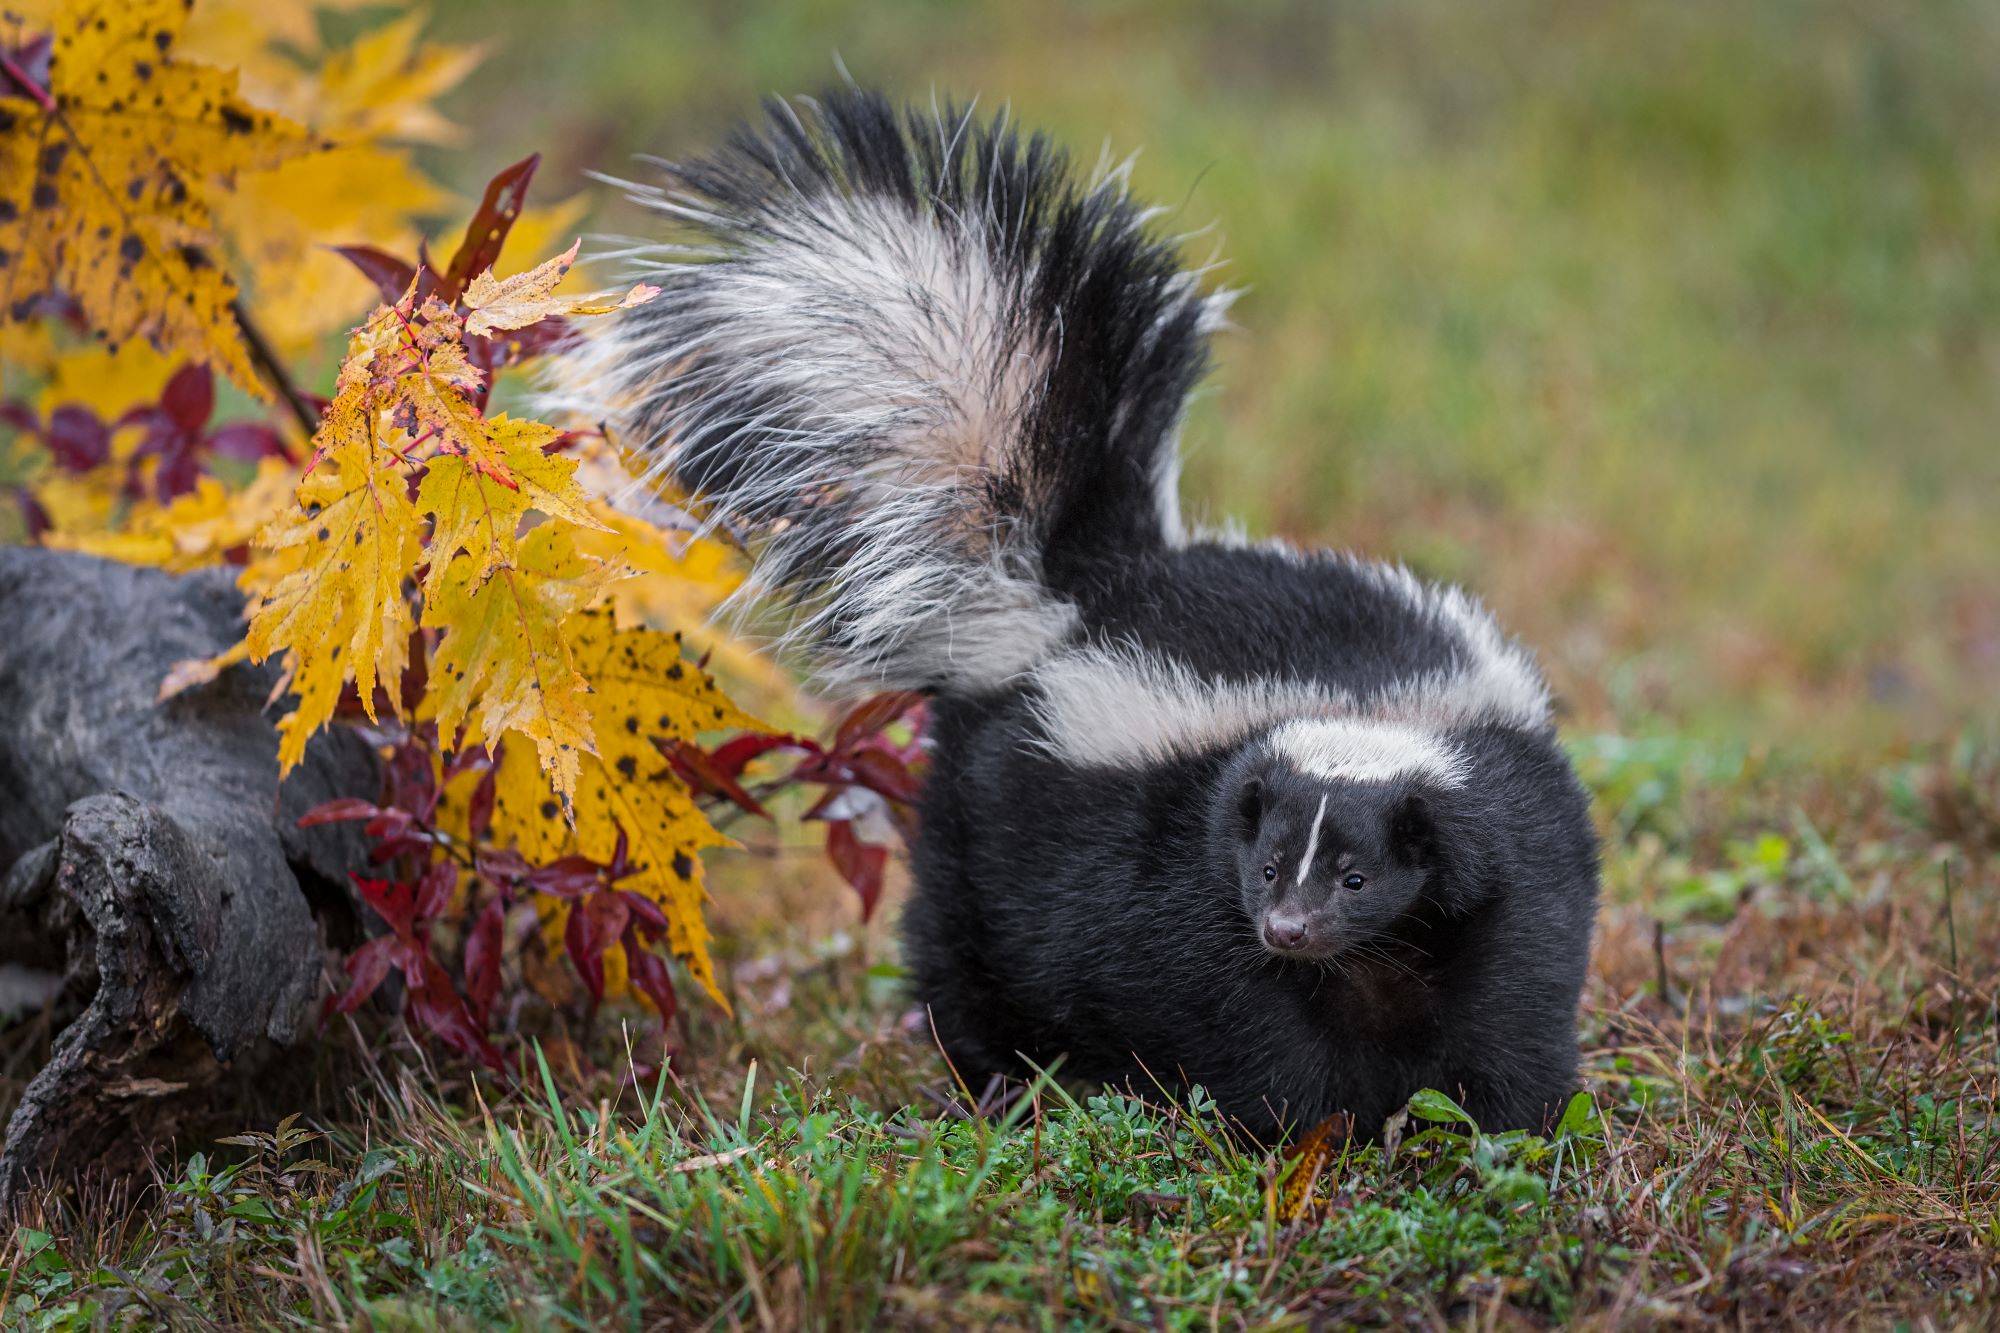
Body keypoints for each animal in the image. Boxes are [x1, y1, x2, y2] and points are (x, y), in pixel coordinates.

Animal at [552, 91, 1608, 1128]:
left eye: (1356, 877)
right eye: (1269, 866)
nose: (1287, 927)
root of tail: (1083, 584)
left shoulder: (1507, 856)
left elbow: (1509, 995)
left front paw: (1504, 1124)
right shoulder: (1176, 869)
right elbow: (1239, 1016)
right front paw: (1307, 1130)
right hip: (986, 815)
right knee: (963, 947)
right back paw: (996, 1078)